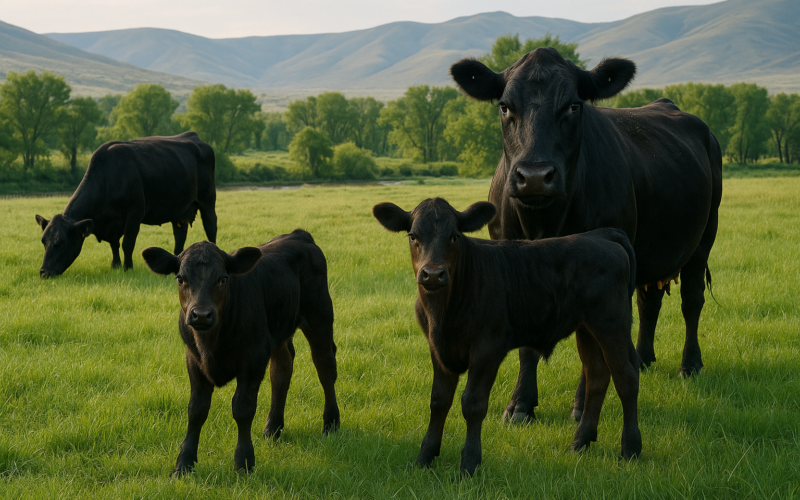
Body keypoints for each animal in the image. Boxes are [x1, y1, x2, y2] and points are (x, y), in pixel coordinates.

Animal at [35, 131, 217, 278]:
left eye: (60, 242)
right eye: (43, 241)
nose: (44, 272)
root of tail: (194, 136)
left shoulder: (135, 213)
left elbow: (127, 243)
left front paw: (127, 267)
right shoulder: (111, 224)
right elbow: (114, 244)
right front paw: (115, 265)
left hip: (207, 199)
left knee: (211, 226)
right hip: (179, 211)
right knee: (180, 234)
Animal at [141, 229, 340, 475]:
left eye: (223, 278)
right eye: (180, 278)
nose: (201, 315)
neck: (211, 344)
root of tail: (298, 235)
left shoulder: (253, 358)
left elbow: (242, 408)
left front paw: (244, 462)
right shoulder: (194, 360)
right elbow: (196, 409)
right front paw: (184, 464)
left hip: (320, 316)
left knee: (325, 367)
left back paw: (331, 424)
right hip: (280, 333)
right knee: (282, 372)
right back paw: (272, 428)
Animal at [373, 198, 641, 476]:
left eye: (455, 236)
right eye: (413, 236)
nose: (433, 273)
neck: (442, 314)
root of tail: (600, 235)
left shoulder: (487, 349)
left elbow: (473, 404)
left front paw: (469, 464)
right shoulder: (438, 349)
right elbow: (438, 401)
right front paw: (424, 458)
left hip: (612, 322)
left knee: (627, 378)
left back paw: (630, 449)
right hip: (587, 328)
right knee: (597, 377)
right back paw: (579, 444)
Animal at [449, 48, 723, 423]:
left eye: (574, 106)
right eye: (504, 106)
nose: (534, 177)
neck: (544, 223)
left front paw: (581, 406)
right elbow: (526, 344)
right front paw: (520, 404)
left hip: (703, 238)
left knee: (692, 300)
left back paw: (690, 365)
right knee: (648, 302)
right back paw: (643, 359)